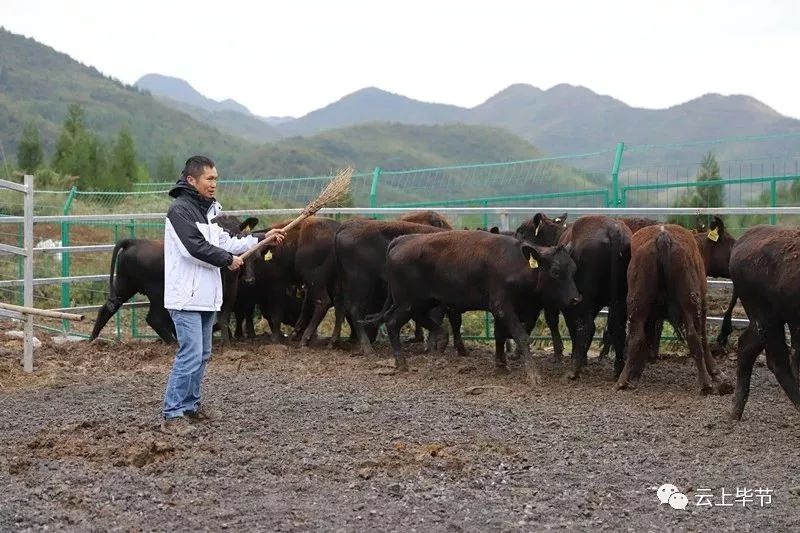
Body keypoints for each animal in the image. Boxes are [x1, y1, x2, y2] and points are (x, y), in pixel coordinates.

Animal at [620, 222, 732, 392]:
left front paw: (636, 373)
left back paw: (623, 380)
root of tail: (663, 237)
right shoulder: (703, 305)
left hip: (637, 302)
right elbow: (704, 338)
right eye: (731, 244)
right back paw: (706, 383)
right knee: (694, 336)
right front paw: (716, 372)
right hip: (690, 302)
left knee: (636, 335)